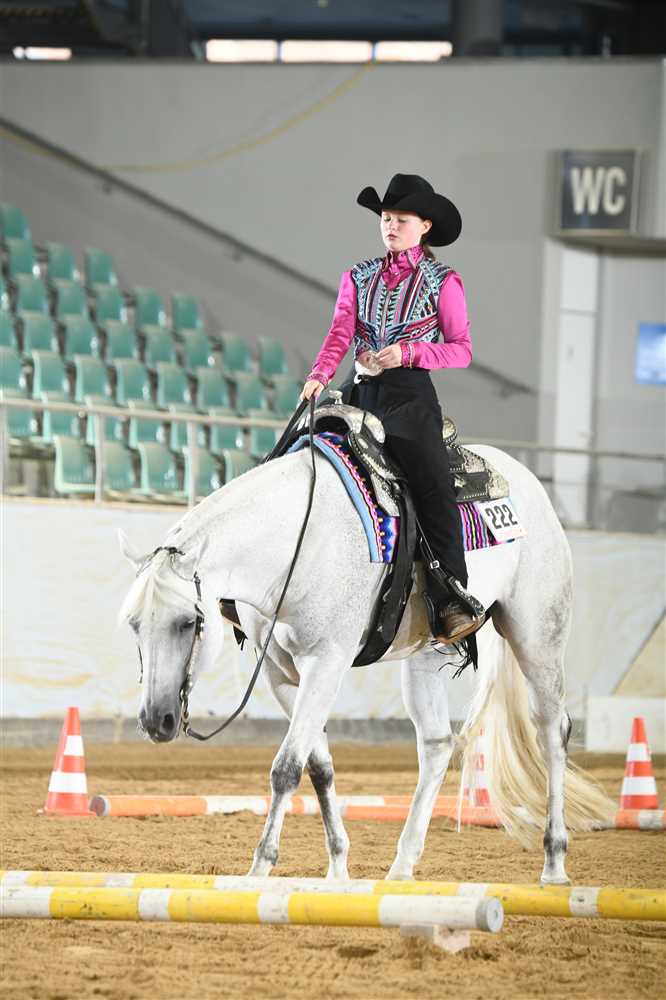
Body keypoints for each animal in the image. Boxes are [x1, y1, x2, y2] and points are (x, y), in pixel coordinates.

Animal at [118, 433, 613, 886]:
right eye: (133, 624)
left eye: (188, 622)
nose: (156, 720)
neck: (299, 543)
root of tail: (526, 480)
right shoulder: (281, 672)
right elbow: (317, 766)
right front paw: (338, 867)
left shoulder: (326, 662)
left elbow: (286, 768)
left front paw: (260, 869)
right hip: (425, 655)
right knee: (436, 745)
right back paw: (401, 868)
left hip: (538, 635)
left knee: (552, 732)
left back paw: (554, 862)